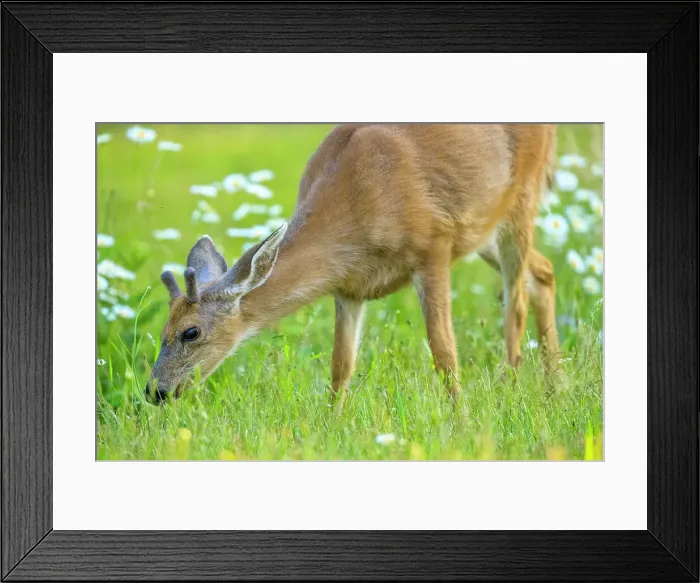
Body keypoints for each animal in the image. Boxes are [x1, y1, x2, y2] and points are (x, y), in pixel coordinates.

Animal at [146, 124, 560, 409]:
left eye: (190, 332)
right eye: (163, 329)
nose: (155, 391)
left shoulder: (434, 247)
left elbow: (443, 351)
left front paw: (461, 419)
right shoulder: (349, 288)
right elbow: (341, 366)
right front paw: (331, 423)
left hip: (522, 200)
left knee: (516, 304)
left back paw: (512, 390)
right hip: (485, 231)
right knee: (544, 272)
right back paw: (556, 386)